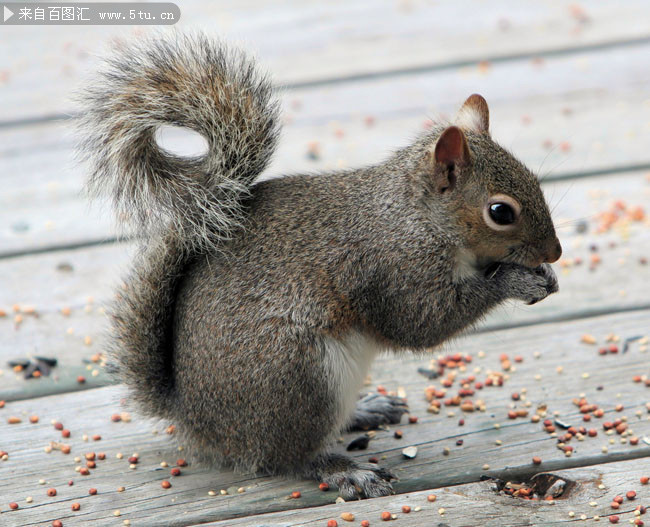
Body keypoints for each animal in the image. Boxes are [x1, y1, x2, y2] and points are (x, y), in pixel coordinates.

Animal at [78, 33, 560, 500]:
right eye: (500, 212)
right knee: (286, 457)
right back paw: (345, 470)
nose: (554, 253)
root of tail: (197, 421)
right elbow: (422, 323)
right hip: (298, 378)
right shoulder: (394, 267)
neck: (417, 216)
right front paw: (515, 281)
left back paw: (367, 409)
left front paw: (545, 277)